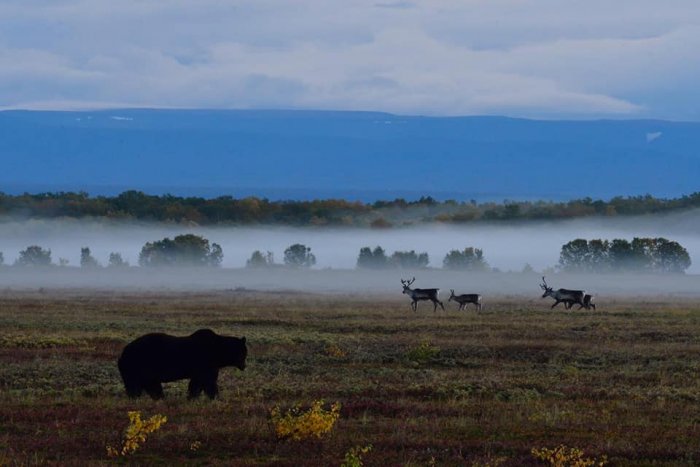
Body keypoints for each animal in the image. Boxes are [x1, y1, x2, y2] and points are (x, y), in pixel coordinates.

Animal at [119, 328, 249, 400]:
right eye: (243, 353)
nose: (244, 366)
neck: (218, 352)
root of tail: (123, 352)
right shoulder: (205, 364)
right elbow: (208, 382)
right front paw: (215, 397)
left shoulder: (203, 368)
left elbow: (197, 383)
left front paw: (192, 397)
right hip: (140, 364)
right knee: (139, 385)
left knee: (147, 385)